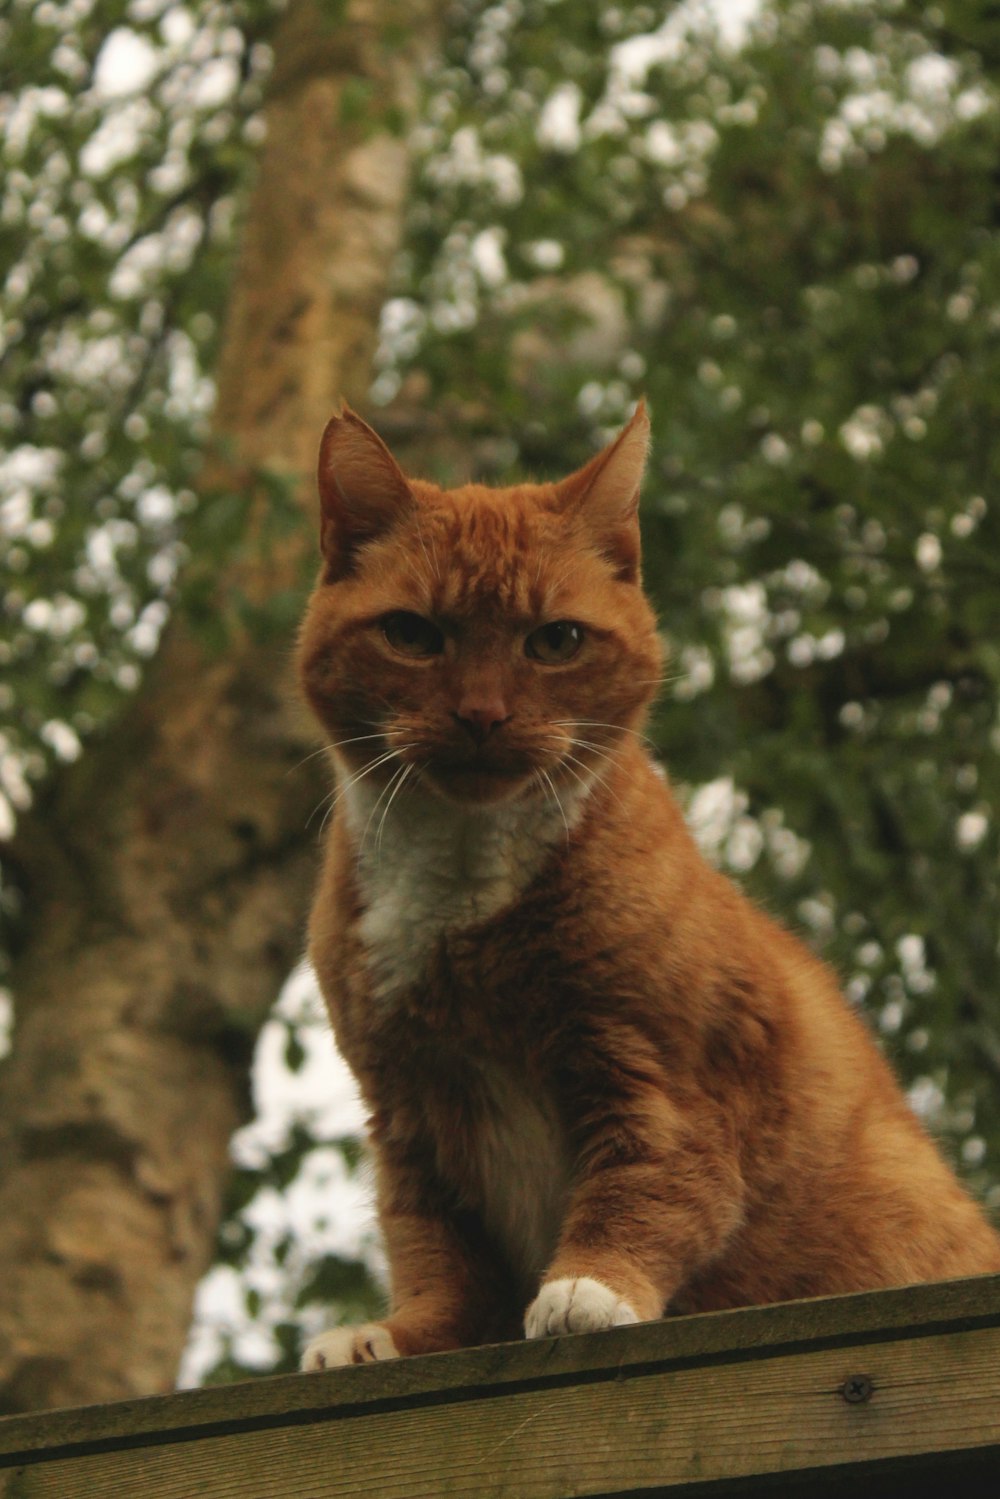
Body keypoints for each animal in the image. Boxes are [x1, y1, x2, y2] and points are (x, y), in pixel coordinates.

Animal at [296, 398, 1000, 1373]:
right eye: (413, 634)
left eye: (555, 640)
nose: (482, 715)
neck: (455, 885)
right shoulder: (409, 1115)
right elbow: (434, 1251)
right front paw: (394, 1336)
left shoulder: (663, 1072)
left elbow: (652, 1182)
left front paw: (590, 1289)